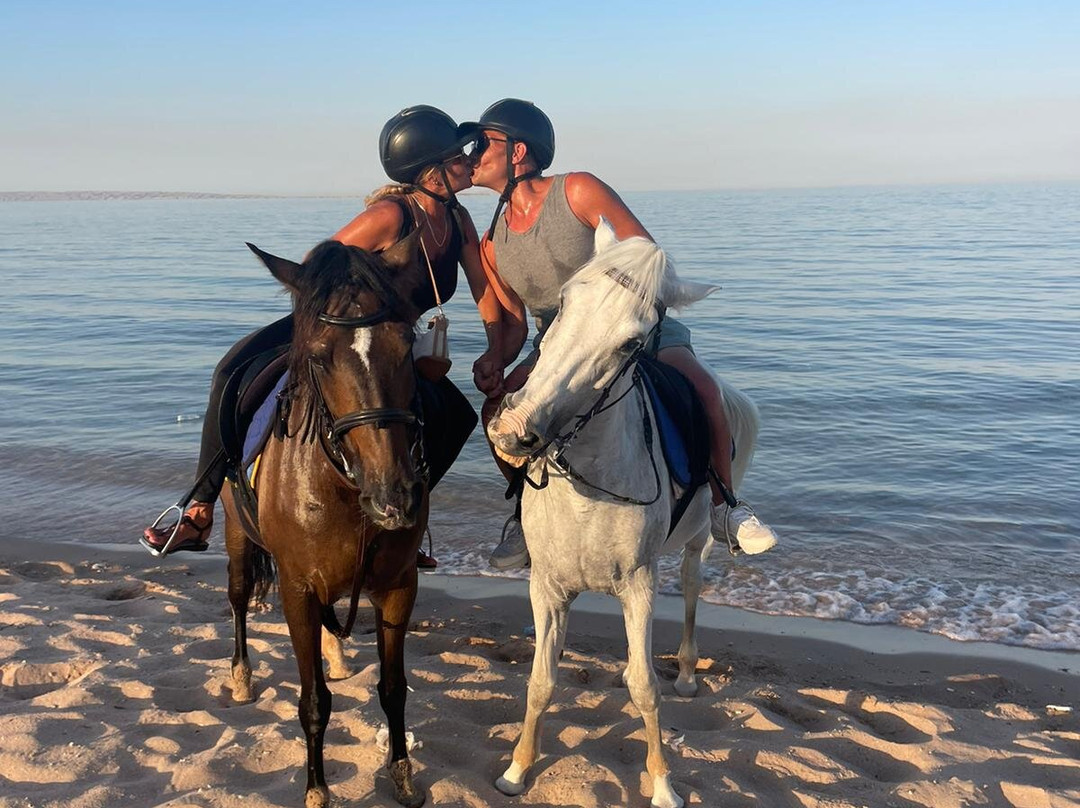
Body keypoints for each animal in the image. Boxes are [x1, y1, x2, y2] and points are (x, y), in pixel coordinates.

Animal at [221, 234, 430, 808]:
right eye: (319, 355)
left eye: (407, 342)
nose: (395, 497)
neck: (345, 489)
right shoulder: (297, 590)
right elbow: (314, 700)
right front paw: (317, 789)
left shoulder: (399, 587)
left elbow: (393, 689)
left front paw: (402, 775)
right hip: (235, 535)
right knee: (238, 597)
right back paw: (242, 676)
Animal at [487, 220, 760, 808]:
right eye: (564, 302)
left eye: (632, 343)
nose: (514, 428)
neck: (589, 485)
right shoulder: (548, 587)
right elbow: (541, 680)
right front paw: (517, 770)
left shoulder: (639, 584)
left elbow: (645, 687)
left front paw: (662, 784)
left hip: (695, 542)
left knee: (691, 590)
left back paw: (687, 672)